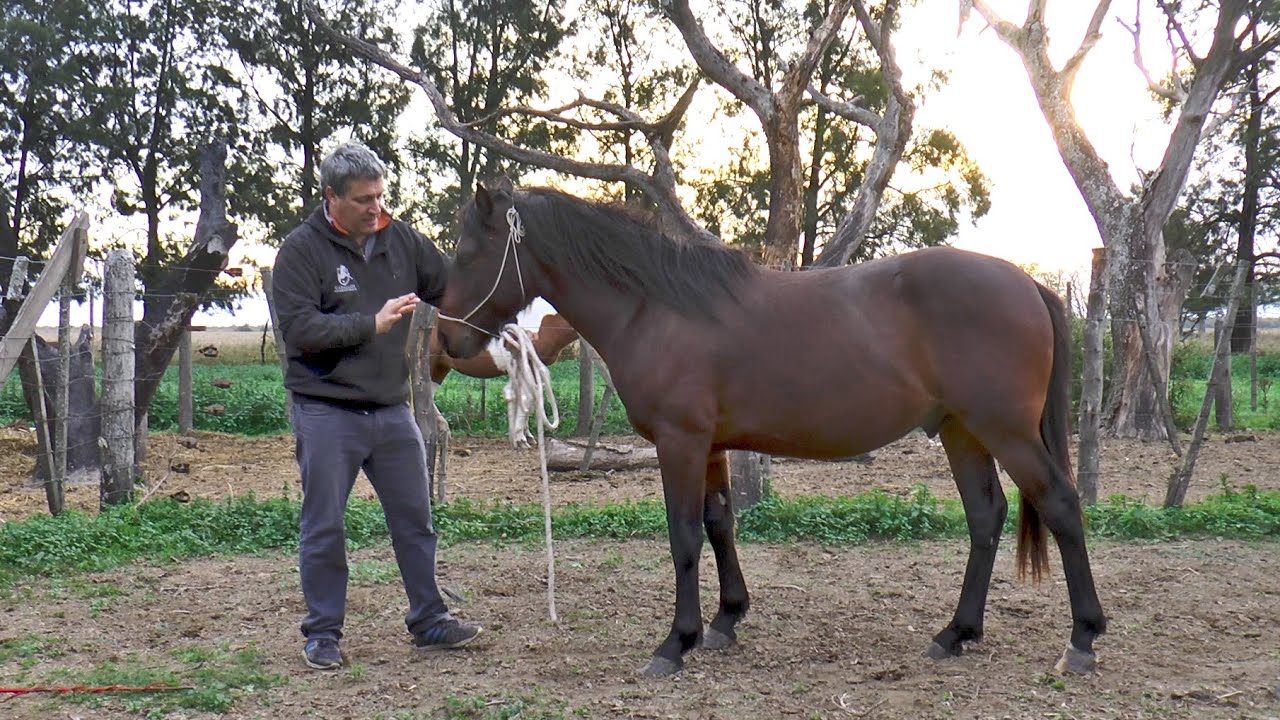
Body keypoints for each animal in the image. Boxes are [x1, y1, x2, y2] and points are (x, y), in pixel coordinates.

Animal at [434, 178, 1107, 678]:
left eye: (468, 253)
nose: (445, 340)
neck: (657, 309)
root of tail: (1029, 283)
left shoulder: (680, 443)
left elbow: (683, 537)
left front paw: (676, 642)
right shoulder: (708, 447)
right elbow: (719, 524)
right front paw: (726, 619)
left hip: (1005, 431)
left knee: (1060, 504)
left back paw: (1082, 638)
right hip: (961, 431)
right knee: (986, 516)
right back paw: (956, 632)